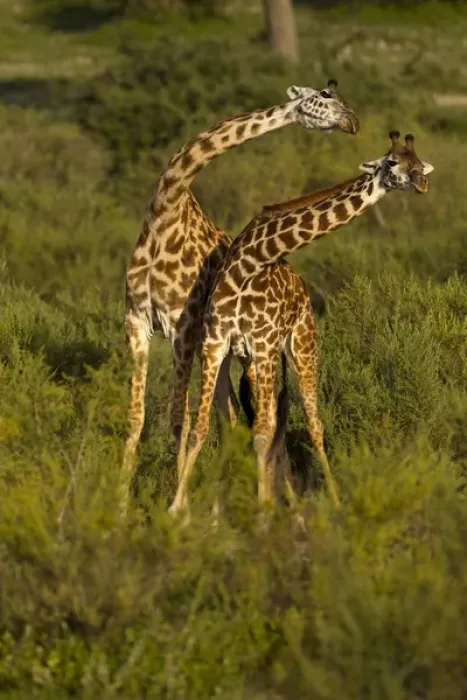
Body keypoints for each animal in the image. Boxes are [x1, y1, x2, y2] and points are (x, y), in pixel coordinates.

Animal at [121, 80, 360, 514]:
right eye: (324, 96)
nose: (352, 121)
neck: (164, 215)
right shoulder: (136, 321)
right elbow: (136, 418)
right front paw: (118, 505)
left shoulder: (184, 328)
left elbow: (179, 418)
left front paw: (177, 509)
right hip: (234, 353)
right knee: (238, 415)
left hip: (249, 353)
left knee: (249, 416)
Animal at [170, 132, 434, 514]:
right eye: (392, 162)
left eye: (418, 161)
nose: (421, 181)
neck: (251, 261)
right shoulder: (216, 343)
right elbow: (202, 428)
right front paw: (179, 509)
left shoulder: (263, 344)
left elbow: (262, 434)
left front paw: (263, 511)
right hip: (255, 362)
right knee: (272, 419)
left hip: (301, 349)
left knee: (312, 424)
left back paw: (329, 501)